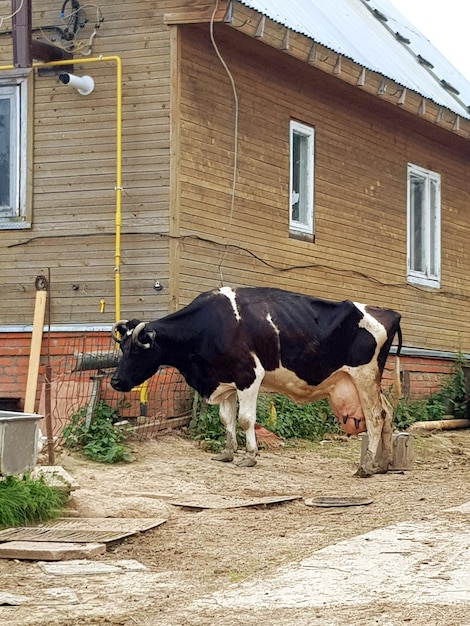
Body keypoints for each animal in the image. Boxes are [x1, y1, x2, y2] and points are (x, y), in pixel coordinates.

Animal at [109, 286, 400, 476]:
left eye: (136, 350)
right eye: (122, 347)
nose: (115, 381)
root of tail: (388, 312)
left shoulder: (249, 375)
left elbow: (245, 419)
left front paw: (250, 456)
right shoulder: (224, 382)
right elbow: (226, 419)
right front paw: (227, 453)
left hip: (364, 375)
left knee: (375, 418)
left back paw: (366, 467)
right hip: (367, 381)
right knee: (388, 412)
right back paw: (384, 464)